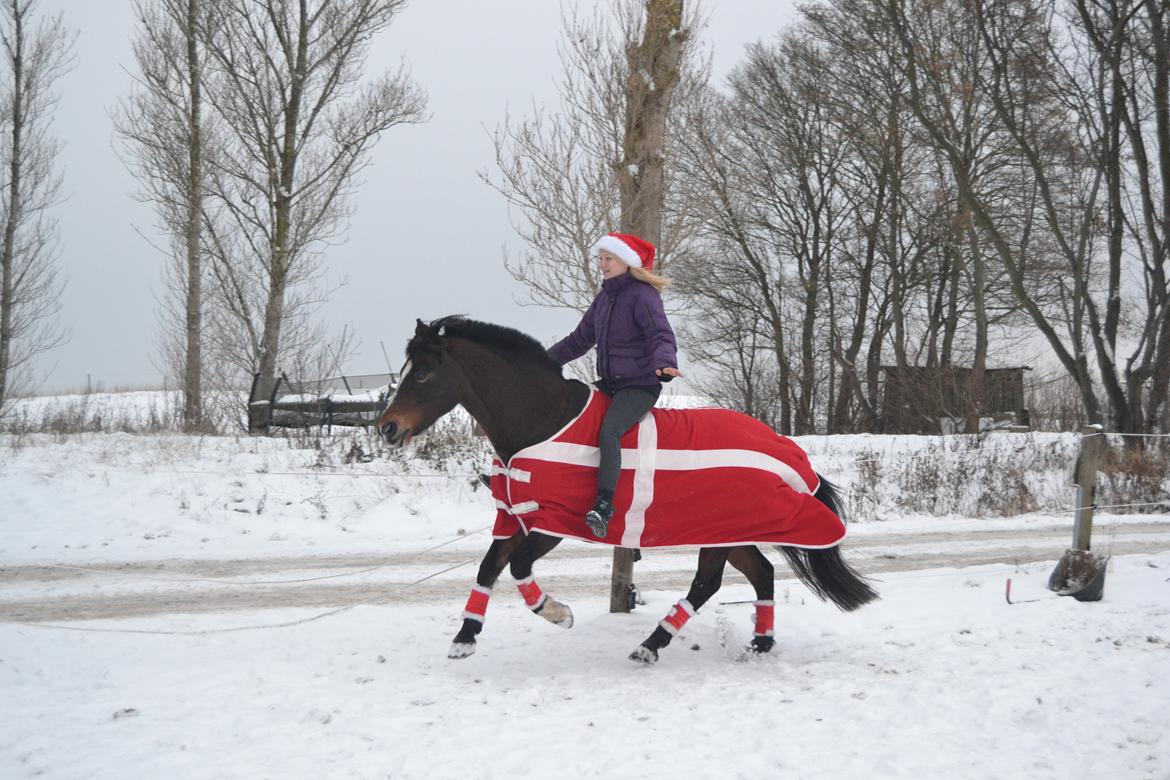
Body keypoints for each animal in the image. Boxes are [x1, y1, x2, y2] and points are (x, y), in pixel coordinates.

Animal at [376, 318, 879, 664]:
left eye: (422, 374)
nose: (387, 428)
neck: (545, 422)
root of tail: (788, 451)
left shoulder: (552, 523)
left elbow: (517, 569)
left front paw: (558, 613)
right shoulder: (518, 515)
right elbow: (488, 567)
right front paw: (465, 638)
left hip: (720, 532)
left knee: (707, 583)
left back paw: (651, 645)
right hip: (729, 531)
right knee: (762, 574)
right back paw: (759, 642)